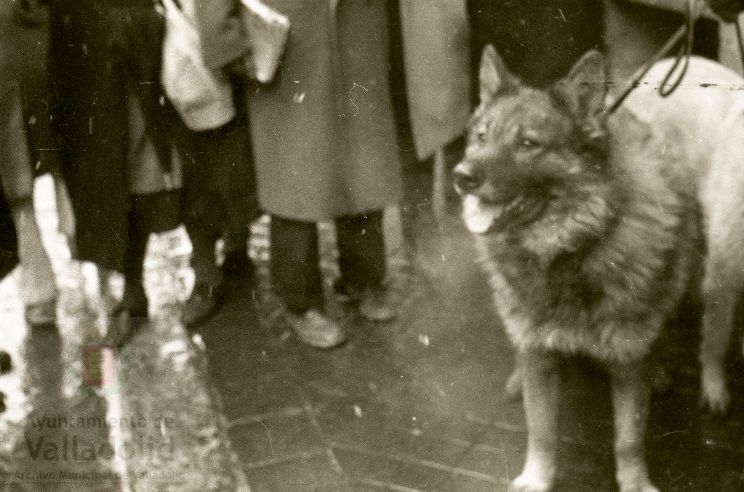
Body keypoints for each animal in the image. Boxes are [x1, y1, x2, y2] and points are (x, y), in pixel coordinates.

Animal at [454, 44, 744, 490]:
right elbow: (541, 429)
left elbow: (628, 439)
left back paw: (659, 369)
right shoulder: (538, 352)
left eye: (528, 143)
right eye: (481, 137)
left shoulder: (627, 363)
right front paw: (536, 477)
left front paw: (635, 483)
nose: (461, 177)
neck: (571, 249)